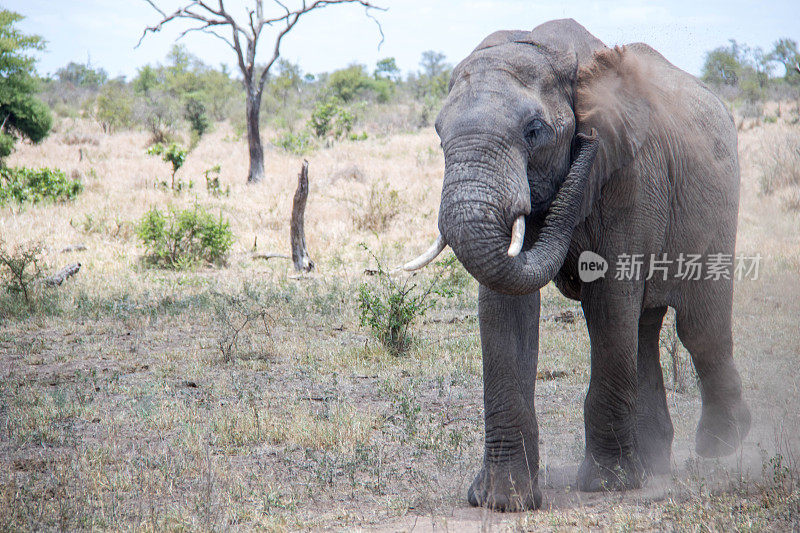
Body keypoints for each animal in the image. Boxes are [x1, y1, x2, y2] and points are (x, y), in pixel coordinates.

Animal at [404, 19, 752, 512]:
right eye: (437, 133)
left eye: (534, 131)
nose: (586, 142)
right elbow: (505, 307)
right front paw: (502, 500)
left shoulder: (630, 172)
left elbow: (608, 296)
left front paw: (609, 485)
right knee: (643, 327)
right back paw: (654, 462)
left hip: (719, 203)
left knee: (697, 326)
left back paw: (718, 449)